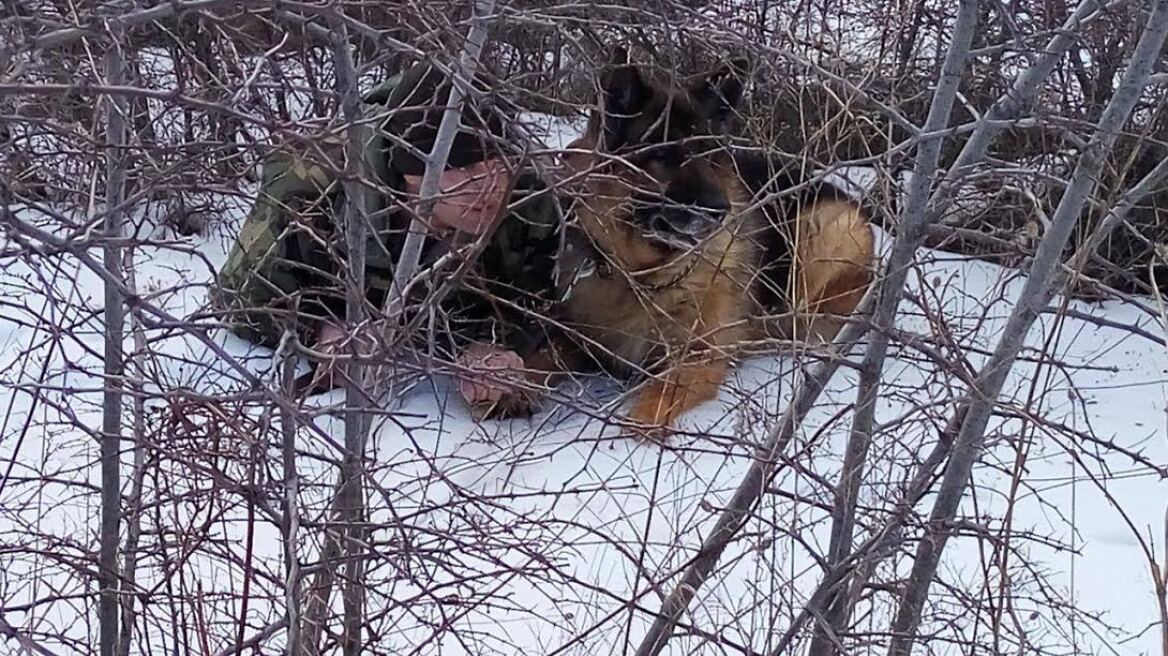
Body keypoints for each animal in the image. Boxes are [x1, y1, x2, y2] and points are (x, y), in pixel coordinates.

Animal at [497, 51, 873, 436]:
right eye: (663, 155)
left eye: (706, 154)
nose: (720, 210)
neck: (645, 275)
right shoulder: (576, 336)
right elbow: (540, 355)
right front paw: (508, 388)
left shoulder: (696, 359)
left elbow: (653, 403)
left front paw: (633, 432)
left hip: (820, 235)